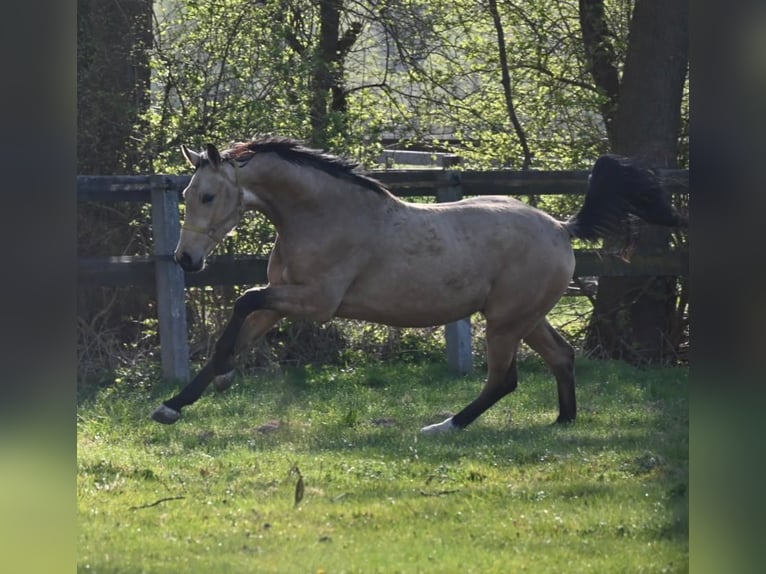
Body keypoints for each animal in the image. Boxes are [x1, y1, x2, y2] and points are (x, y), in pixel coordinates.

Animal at [151, 136, 686, 433]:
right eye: (185, 193)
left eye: (207, 195)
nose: (185, 260)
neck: (322, 215)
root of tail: (561, 226)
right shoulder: (282, 302)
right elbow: (239, 326)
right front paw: (175, 405)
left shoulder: (316, 302)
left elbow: (241, 304)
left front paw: (219, 378)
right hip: (526, 318)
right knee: (561, 357)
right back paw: (563, 422)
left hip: (505, 322)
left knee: (504, 379)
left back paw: (444, 426)